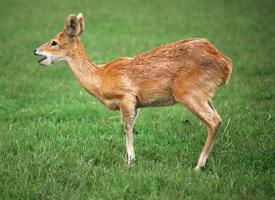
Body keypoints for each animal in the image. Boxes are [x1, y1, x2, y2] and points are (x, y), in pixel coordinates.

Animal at [34, 12, 233, 170]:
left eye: (54, 42)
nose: (35, 51)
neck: (101, 77)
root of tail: (226, 65)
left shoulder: (126, 96)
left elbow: (127, 127)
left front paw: (130, 162)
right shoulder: (137, 104)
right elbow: (128, 127)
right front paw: (131, 159)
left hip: (188, 91)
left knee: (214, 121)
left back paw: (199, 166)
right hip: (204, 94)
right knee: (217, 118)